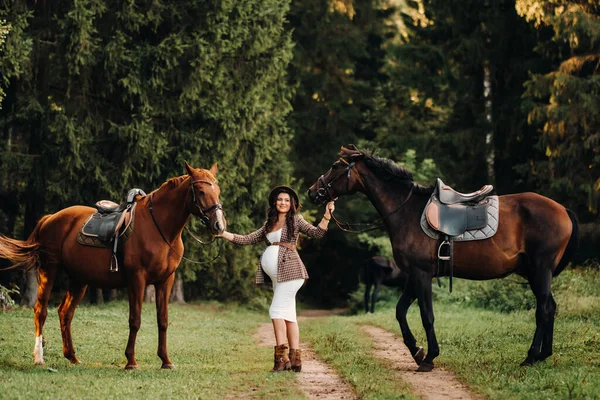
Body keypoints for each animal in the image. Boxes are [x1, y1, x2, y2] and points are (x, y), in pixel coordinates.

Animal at [0, 162, 225, 368]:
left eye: (218, 191)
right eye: (201, 191)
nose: (219, 225)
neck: (159, 228)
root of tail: (50, 218)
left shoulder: (165, 281)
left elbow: (163, 320)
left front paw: (166, 361)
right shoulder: (137, 279)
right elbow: (135, 320)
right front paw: (131, 362)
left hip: (79, 280)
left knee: (65, 313)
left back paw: (72, 356)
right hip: (49, 270)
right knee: (41, 310)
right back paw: (39, 357)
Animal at [310, 145, 576, 372]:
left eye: (335, 165)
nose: (313, 192)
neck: (406, 211)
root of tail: (563, 209)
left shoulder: (421, 275)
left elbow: (426, 315)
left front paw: (429, 357)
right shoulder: (413, 276)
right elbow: (400, 311)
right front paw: (417, 351)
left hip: (540, 270)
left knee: (543, 310)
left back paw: (531, 357)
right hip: (534, 273)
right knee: (550, 307)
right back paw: (543, 354)